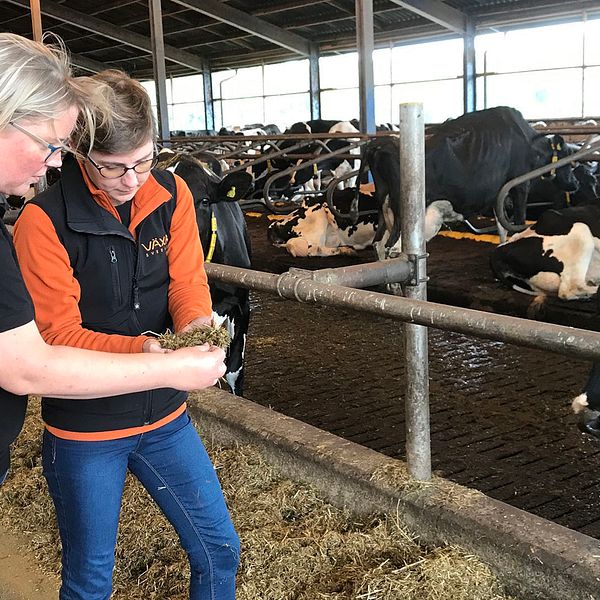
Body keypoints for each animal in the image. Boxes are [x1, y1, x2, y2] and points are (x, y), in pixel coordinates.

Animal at [356, 106, 580, 258]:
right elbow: (517, 222)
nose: (575, 184)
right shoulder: (519, 185)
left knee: (379, 245)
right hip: (405, 215)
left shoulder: (498, 192)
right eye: (568, 158)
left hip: (385, 209)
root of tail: (380, 143)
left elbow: (501, 225)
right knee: (391, 248)